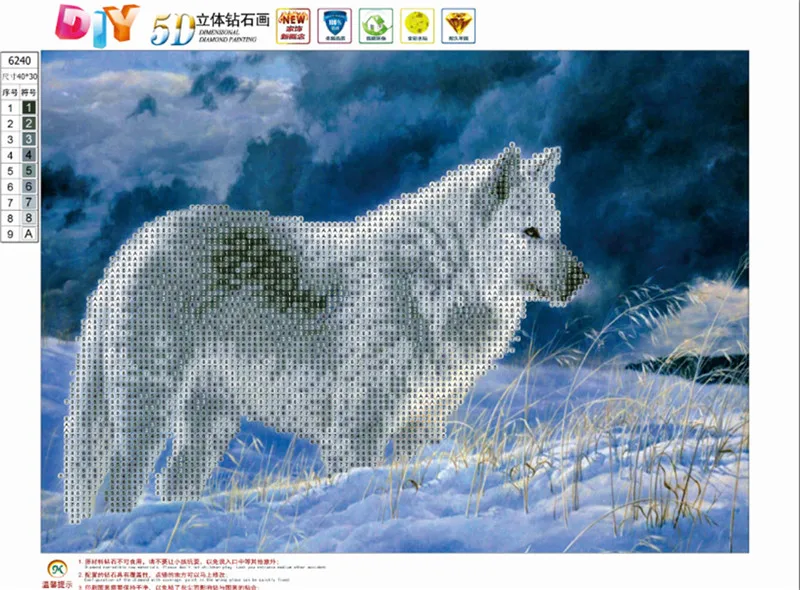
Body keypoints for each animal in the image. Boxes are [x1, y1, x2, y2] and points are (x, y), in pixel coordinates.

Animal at [62, 143, 588, 523]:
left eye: (557, 230)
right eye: (530, 232)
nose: (580, 277)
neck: (438, 282)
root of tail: (132, 246)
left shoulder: (425, 422)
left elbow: (410, 474)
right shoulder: (358, 426)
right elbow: (361, 480)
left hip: (208, 423)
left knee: (171, 483)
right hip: (147, 414)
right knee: (121, 485)